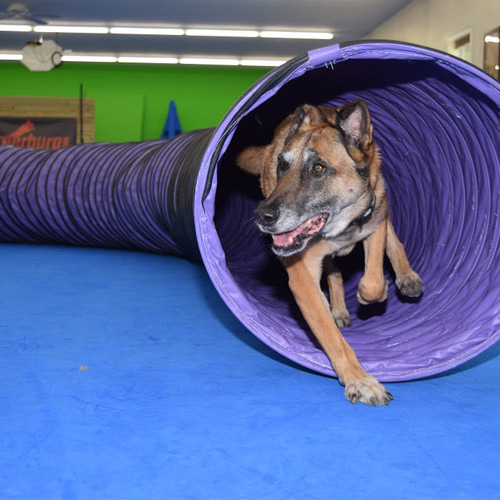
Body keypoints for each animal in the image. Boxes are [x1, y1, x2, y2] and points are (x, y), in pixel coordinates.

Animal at [235, 100, 422, 406]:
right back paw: (339, 308)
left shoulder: (374, 217)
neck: (340, 225)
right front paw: (360, 380)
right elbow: (331, 336)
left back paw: (407, 276)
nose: (262, 217)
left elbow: (373, 278)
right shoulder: (302, 280)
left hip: (382, 198)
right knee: (334, 272)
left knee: (392, 238)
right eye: (282, 165)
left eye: (319, 168)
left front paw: (374, 294)